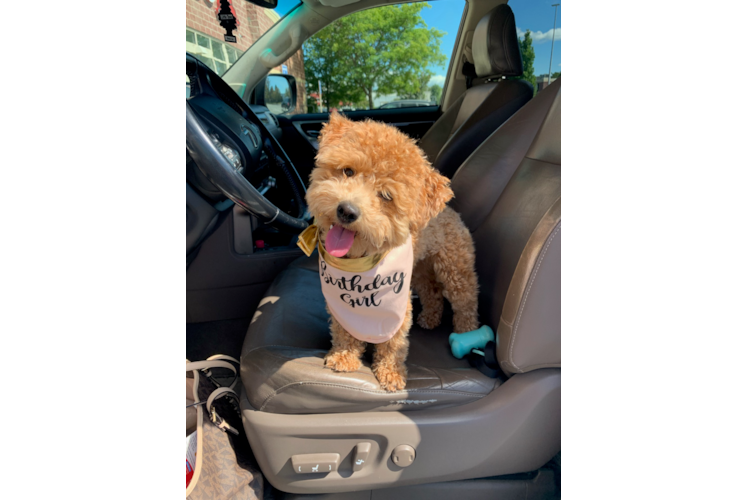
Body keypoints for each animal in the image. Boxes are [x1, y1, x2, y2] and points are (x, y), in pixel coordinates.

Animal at [300, 111, 480, 392]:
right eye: (348, 171)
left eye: (386, 196)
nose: (347, 211)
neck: (360, 260)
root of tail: (449, 210)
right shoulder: (341, 307)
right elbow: (344, 330)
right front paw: (344, 357)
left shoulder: (398, 305)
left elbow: (394, 342)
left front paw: (391, 374)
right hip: (420, 270)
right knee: (432, 292)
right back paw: (431, 318)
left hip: (454, 268)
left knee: (466, 300)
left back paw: (466, 333)